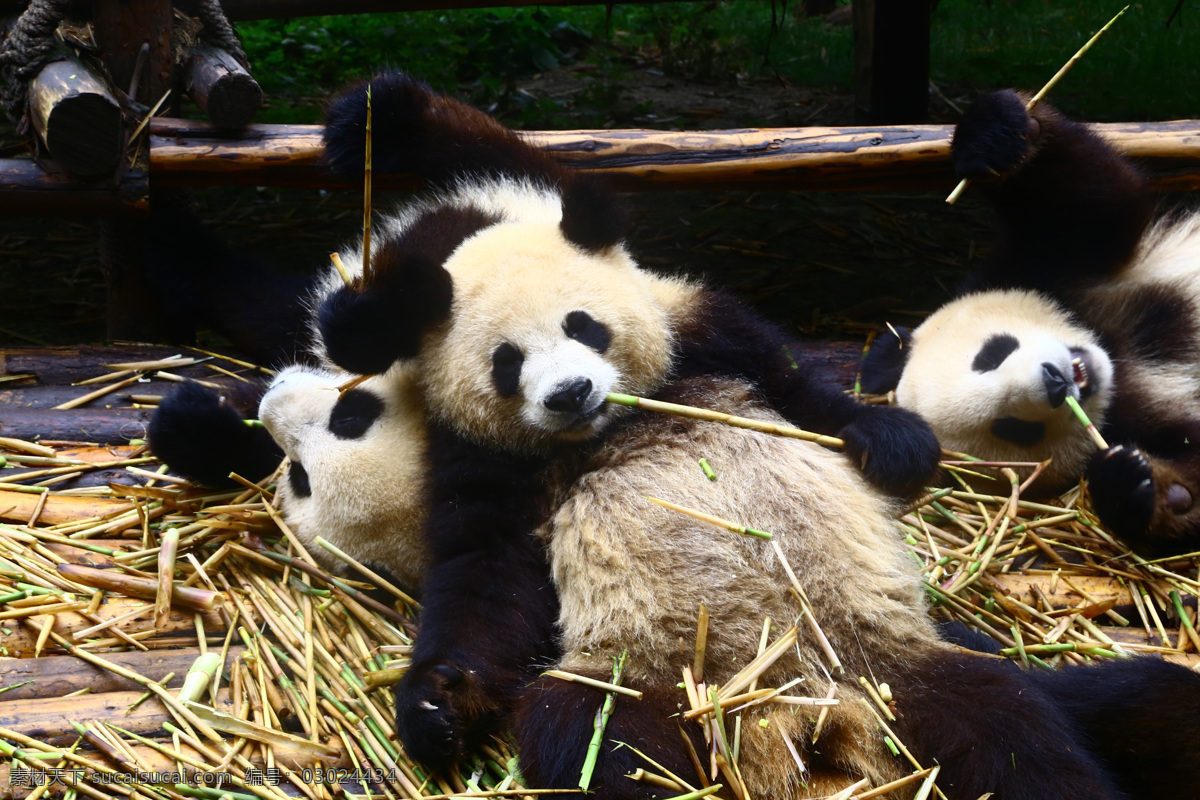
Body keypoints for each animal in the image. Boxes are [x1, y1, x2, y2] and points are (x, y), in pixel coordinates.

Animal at [859, 90, 1200, 556]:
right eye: (1014, 429)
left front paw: (994, 133)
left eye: (992, 353)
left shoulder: (1041, 270)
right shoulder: (1136, 422)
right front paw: (1141, 489)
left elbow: (1092, 208)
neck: (1116, 361)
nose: (1055, 381)